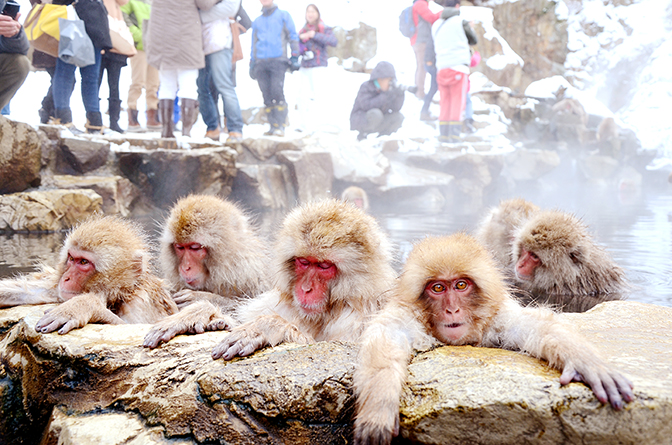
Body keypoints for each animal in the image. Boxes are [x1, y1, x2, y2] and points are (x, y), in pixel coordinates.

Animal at [0, 215, 178, 332]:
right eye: (72, 258)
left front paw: (83, 305)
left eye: (84, 262)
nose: (66, 278)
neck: (122, 293)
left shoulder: (140, 301)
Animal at [352, 232, 636, 444]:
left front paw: (587, 362)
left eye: (461, 285)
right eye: (438, 288)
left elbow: (536, 328)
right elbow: (386, 340)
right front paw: (379, 404)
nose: (452, 309)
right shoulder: (406, 318)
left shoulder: (498, 321)